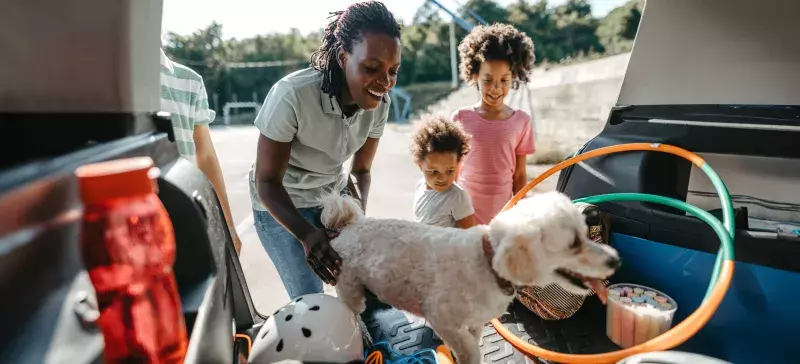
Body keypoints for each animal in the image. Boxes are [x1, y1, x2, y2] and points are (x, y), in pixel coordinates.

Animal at [322, 191, 620, 364]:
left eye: (587, 232)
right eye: (573, 243)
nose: (615, 260)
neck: (489, 263)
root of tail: (350, 225)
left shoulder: (475, 322)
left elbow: (474, 343)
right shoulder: (443, 320)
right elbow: (470, 353)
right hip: (350, 286)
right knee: (352, 311)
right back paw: (361, 332)